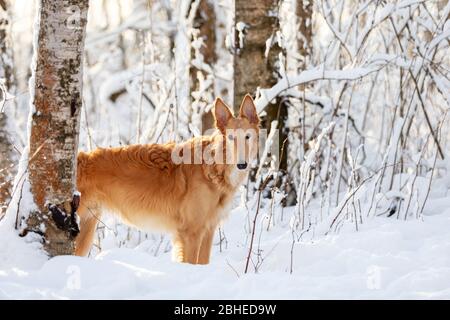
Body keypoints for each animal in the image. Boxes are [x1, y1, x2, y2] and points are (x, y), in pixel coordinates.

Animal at [75, 95, 260, 264]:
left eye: (248, 137)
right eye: (231, 138)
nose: (242, 164)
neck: (213, 167)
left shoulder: (208, 230)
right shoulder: (191, 232)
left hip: (86, 229)